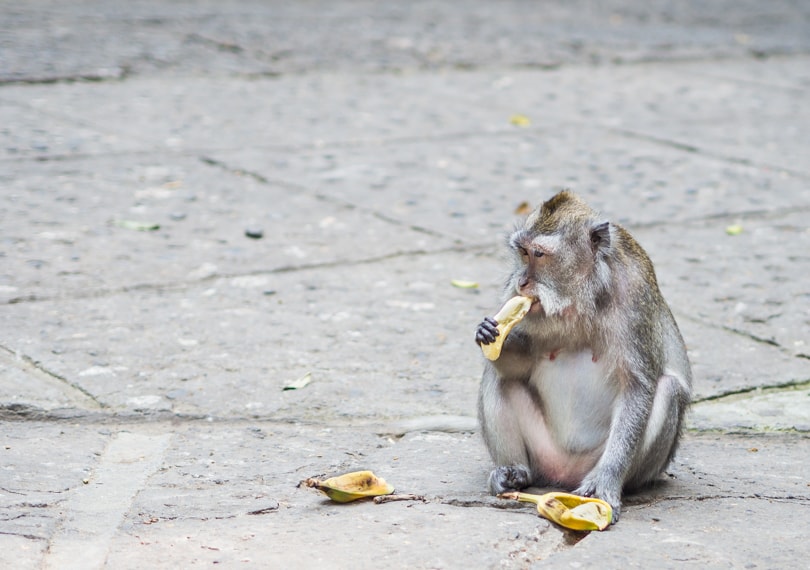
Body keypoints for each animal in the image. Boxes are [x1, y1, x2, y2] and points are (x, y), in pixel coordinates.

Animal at [476, 191, 692, 520]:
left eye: (538, 254)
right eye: (523, 253)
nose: (521, 282)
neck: (580, 300)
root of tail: (565, 475)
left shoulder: (634, 301)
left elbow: (637, 386)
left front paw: (606, 481)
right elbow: (518, 365)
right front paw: (492, 333)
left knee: (668, 389)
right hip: (544, 453)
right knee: (498, 377)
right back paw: (513, 472)